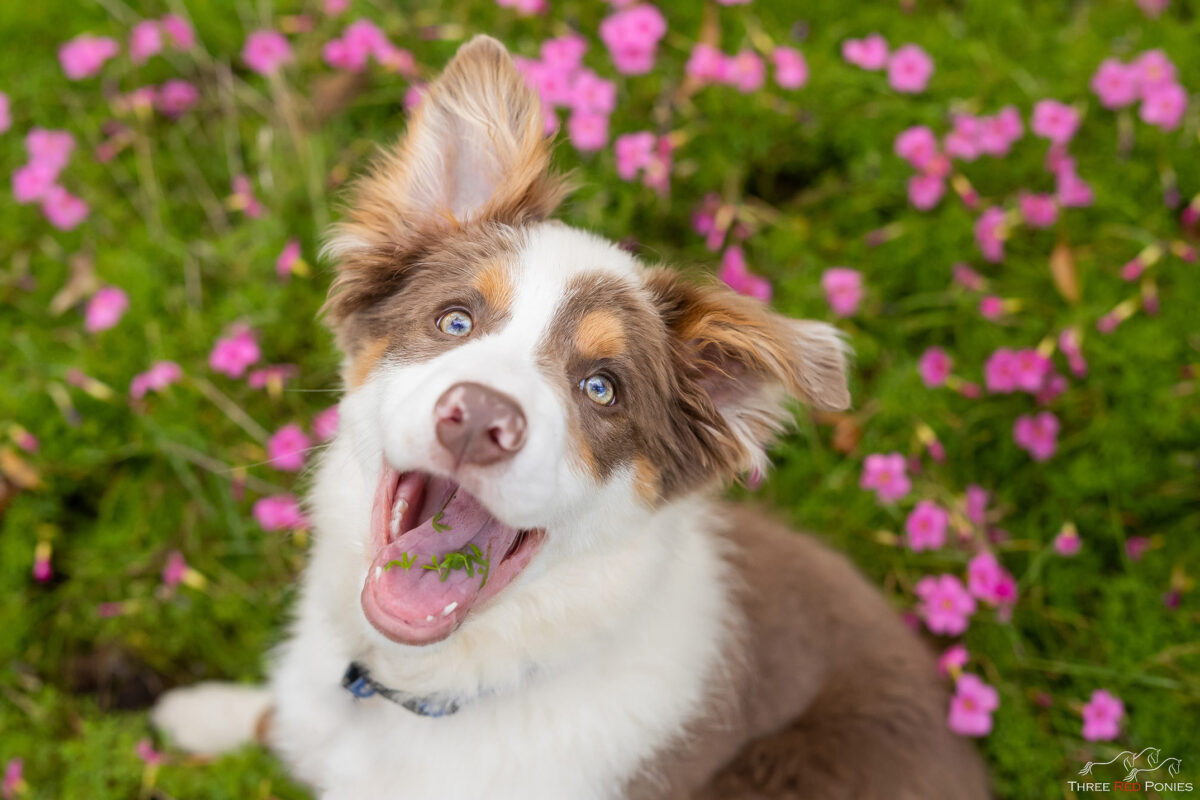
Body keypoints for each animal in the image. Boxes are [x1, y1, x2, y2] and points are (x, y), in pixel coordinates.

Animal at [150, 34, 988, 796]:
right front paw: (201, 712)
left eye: (602, 388)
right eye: (455, 320)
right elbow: (277, 714)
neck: (421, 688)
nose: (477, 420)